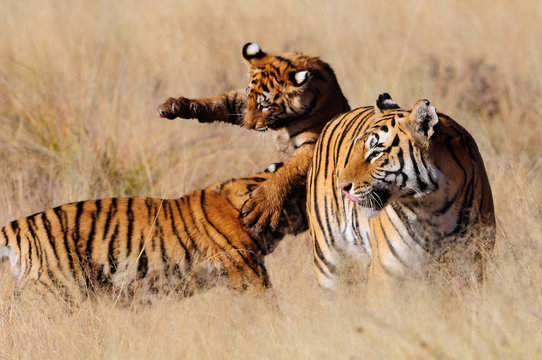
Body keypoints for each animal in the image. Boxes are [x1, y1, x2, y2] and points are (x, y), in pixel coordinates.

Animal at [157, 42, 352, 233]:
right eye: (249, 97)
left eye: (264, 105)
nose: (248, 125)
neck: (285, 121)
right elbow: (221, 101)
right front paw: (177, 106)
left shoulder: (312, 147)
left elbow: (287, 172)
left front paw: (262, 207)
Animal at [308, 93, 496, 290]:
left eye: (375, 154)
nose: (341, 187)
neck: (434, 207)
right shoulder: (388, 271)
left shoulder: (472, 264)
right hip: (328, 261)